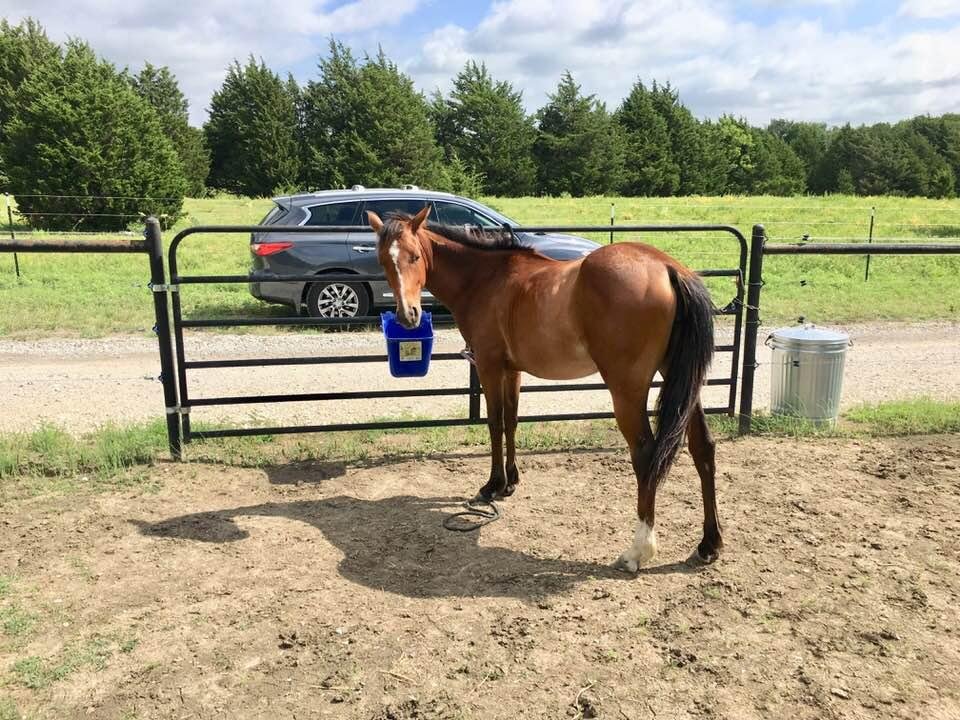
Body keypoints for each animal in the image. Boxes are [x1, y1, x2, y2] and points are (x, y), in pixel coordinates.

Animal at [368, 206, 722, 570]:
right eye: (383, 260)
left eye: (414, 256)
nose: (408, 316)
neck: (485, 280)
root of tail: (667, 268)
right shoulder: (512, 372)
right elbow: (511, 422)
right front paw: (509, 482)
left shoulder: (489, 367)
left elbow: (494, 424)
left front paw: (491, 486)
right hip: (683, 383)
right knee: (703, 448)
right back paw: (708, 544)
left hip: (627, 391)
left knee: (645, 455)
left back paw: (638, 550)